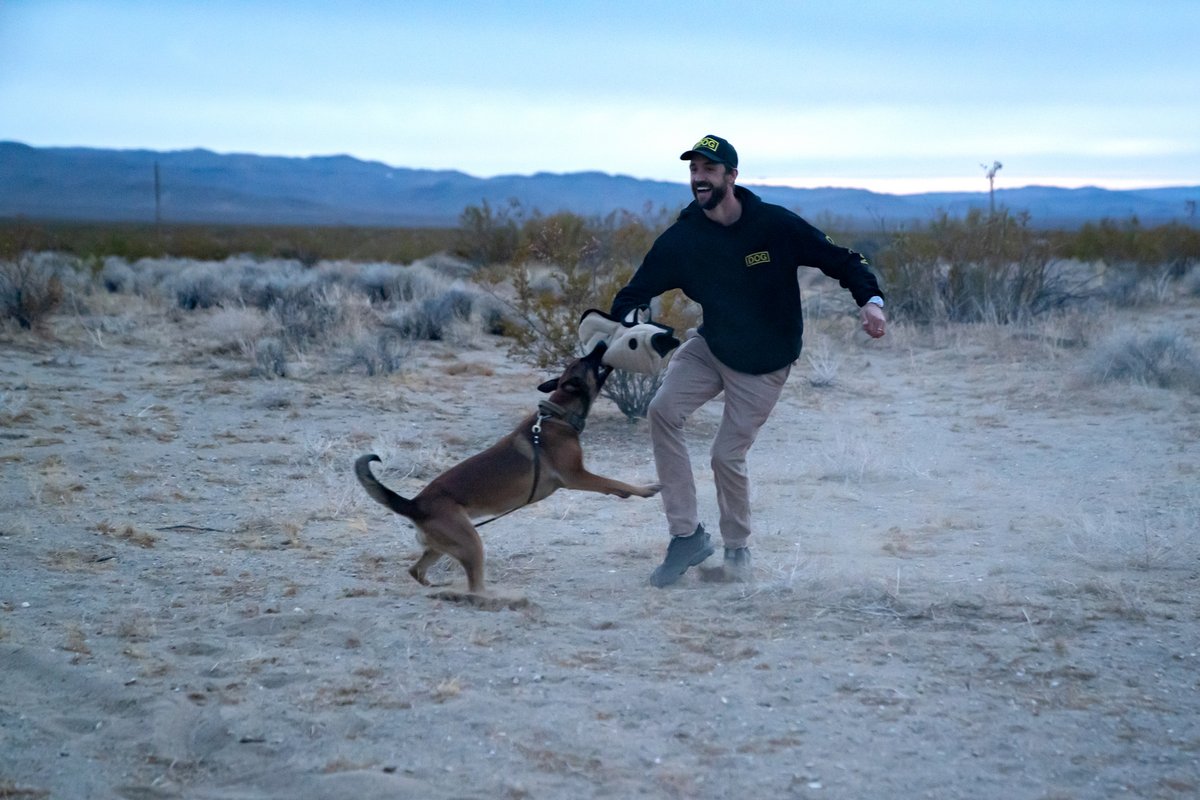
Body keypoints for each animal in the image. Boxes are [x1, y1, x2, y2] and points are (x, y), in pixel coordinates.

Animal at [350, 345, 662, 599]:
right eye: (587, 360)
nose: (600, 345)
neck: (558, 414)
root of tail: (414, 504)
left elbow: (614, 484)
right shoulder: (577, 476)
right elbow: (615, 481)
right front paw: (645, 489)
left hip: (440, 546)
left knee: (416, 571)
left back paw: (437, 589)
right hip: (471, 543)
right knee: (474, 586)